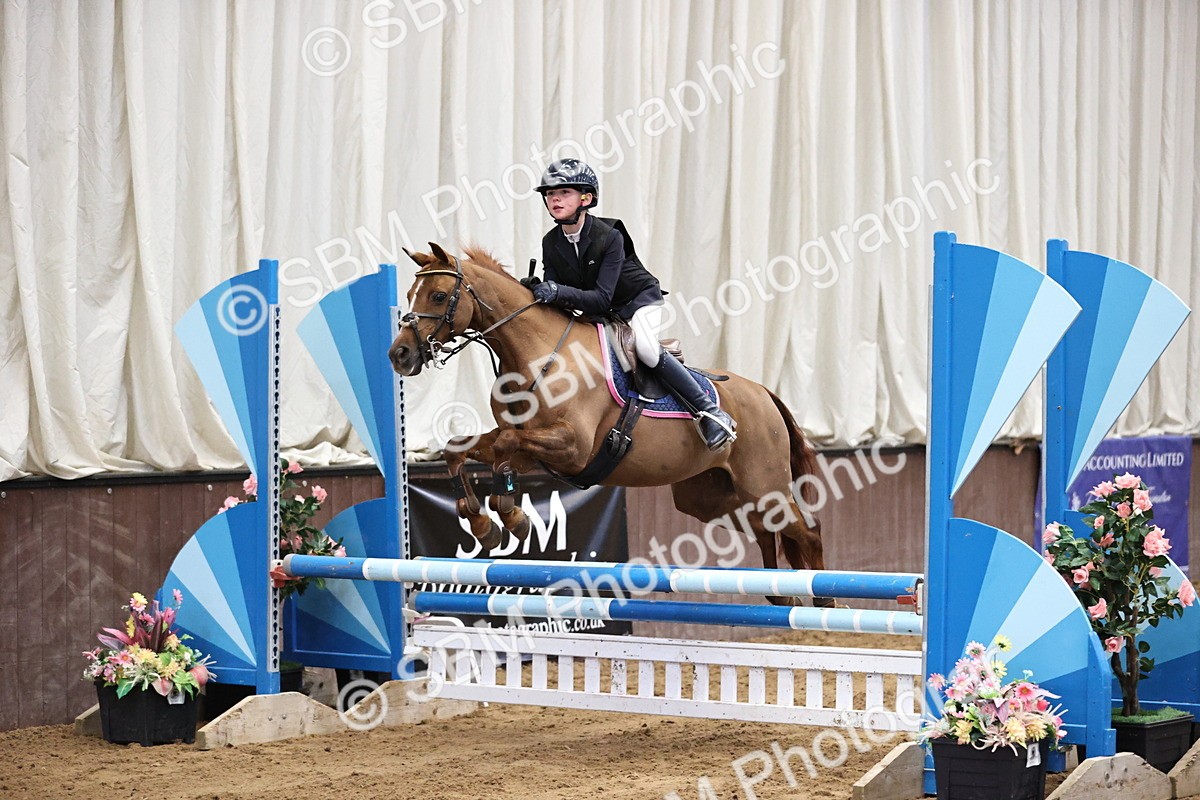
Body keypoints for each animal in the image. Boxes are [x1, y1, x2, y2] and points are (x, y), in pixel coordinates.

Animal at [388, 243, 828, 605]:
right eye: (409, 296)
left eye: (439, 295)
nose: (400, 355)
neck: (536, 355)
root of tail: (765, 393)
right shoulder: (536, 450)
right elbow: (462, 448)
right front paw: (485, 524)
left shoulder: (572, 447)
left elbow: (504, 447)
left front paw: (509, 515)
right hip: (708, 498)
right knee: (765, 526)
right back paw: (783, 592)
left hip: (763, 484)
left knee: (807, 529)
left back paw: (822, 597)